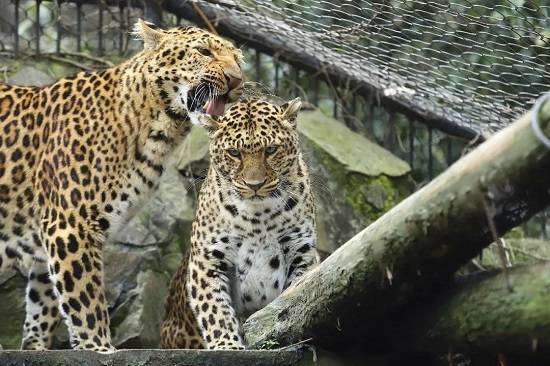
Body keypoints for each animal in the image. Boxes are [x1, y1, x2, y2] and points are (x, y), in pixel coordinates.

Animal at [0, 20, 244, 352]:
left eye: (238, 59)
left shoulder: (45, 241)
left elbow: (43, 304)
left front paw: (35, 348)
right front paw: (99, 349)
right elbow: (85, 302)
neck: (157, 130)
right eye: (203, 51)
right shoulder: (71, 226)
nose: (237, 79)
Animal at [161, 97, 320, 348]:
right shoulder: (207, 260)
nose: (255, 185)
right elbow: (215, 311)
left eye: (271, 150)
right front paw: (227, 345)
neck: (260, 216)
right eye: (234, 153)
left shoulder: (301, 251)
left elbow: (293, 297)